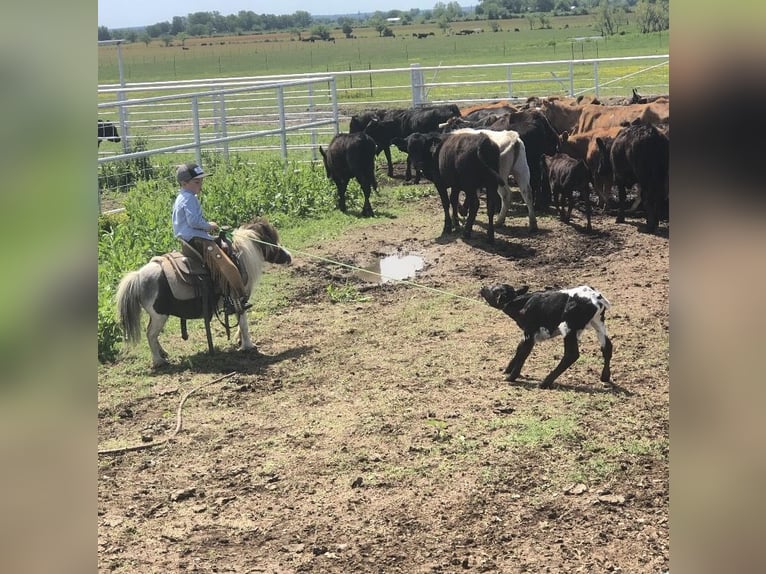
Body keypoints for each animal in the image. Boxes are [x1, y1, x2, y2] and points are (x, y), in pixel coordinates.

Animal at [116, 218, 292, 366]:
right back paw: (159, 361)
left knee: (152, 333)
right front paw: (248, 345)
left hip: (156, 316)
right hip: (159, 316)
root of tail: (138, 276)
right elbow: (243, 322)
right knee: (150, 334)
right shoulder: (238, 298)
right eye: (271, 241)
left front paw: (240, 341)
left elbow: (240, 321)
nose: (289, 257)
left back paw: (163, 354)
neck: (238, 258)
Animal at [484, 284, 616, 392]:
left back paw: (545, 382)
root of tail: (596, 298)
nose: (482, 287)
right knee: (607, 347)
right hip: (598, 323)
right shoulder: (527, 334)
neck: (522, 303)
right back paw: (605, 377)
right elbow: (519, 349)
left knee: (571, 355)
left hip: (569, 327)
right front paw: (507, 370)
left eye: (494, 290)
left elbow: (523, 353)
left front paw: (511, 377)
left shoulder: (530, 332)